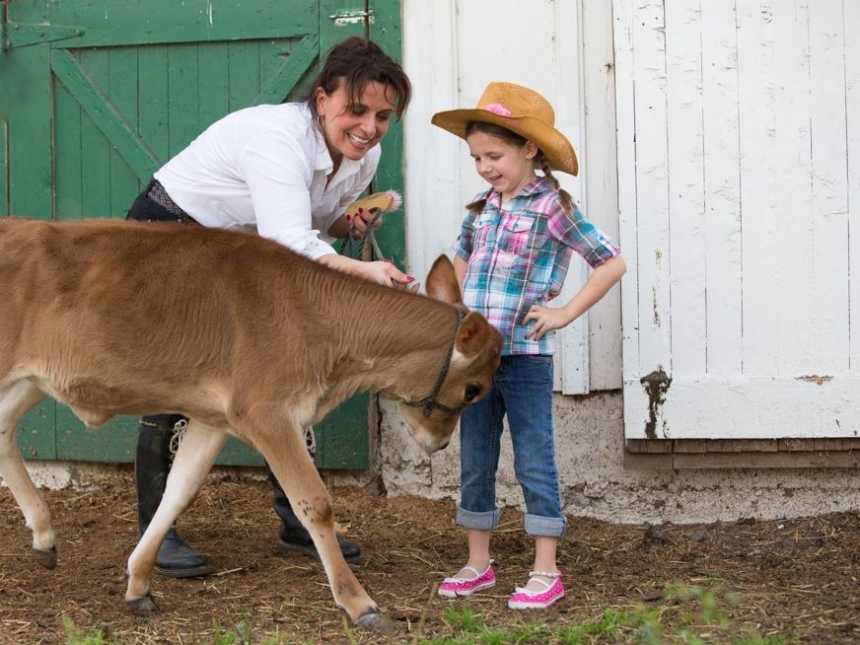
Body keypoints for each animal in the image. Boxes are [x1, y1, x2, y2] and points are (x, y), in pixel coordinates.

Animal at [0, 216, 500, 628]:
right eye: (473, 389)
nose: (439, 444)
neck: (320, 324)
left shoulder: (214, 418)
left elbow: (179, 489)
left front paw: (139, 584)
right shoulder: (267, 412)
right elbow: (315, 503)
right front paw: (360, 604)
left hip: (29, 381)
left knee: (3, 432)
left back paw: (44, 536)